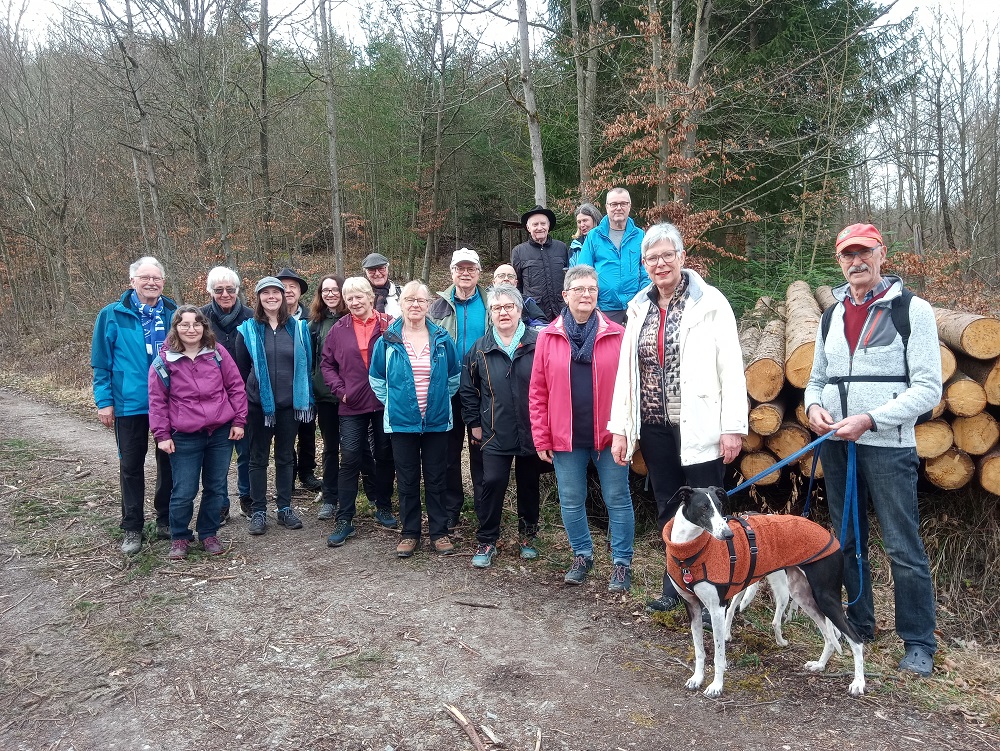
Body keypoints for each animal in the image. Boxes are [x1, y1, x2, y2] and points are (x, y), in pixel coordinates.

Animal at [660, 488, 864, 700]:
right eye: (703, 508)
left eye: (720, 506)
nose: (728, 534)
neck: (689, 555)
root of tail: (833, 539)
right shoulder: (692, 606)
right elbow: (699, 649)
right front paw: (697, 679)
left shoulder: (717, 608)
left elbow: (718, 654)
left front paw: (716, 686)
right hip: (803, 596)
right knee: (829, 635)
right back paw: (820, 665)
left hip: (826, 598)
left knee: (856, 639)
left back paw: (858, 683)